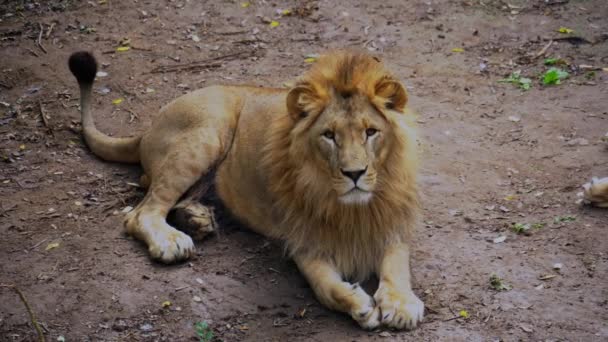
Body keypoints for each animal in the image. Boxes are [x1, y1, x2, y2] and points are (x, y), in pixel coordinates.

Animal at [67, 49, 422, 330]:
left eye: (371, 132)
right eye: (329, 135)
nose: (354, 173)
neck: (352, 208)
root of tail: (148, 127)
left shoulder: (391, 221)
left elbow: (397, 264)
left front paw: (401, 304)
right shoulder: (303, 241)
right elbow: (325, 286)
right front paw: (359, 305)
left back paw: (197, 219)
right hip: (208, 131)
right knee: (141, 212)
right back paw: (172, 241)